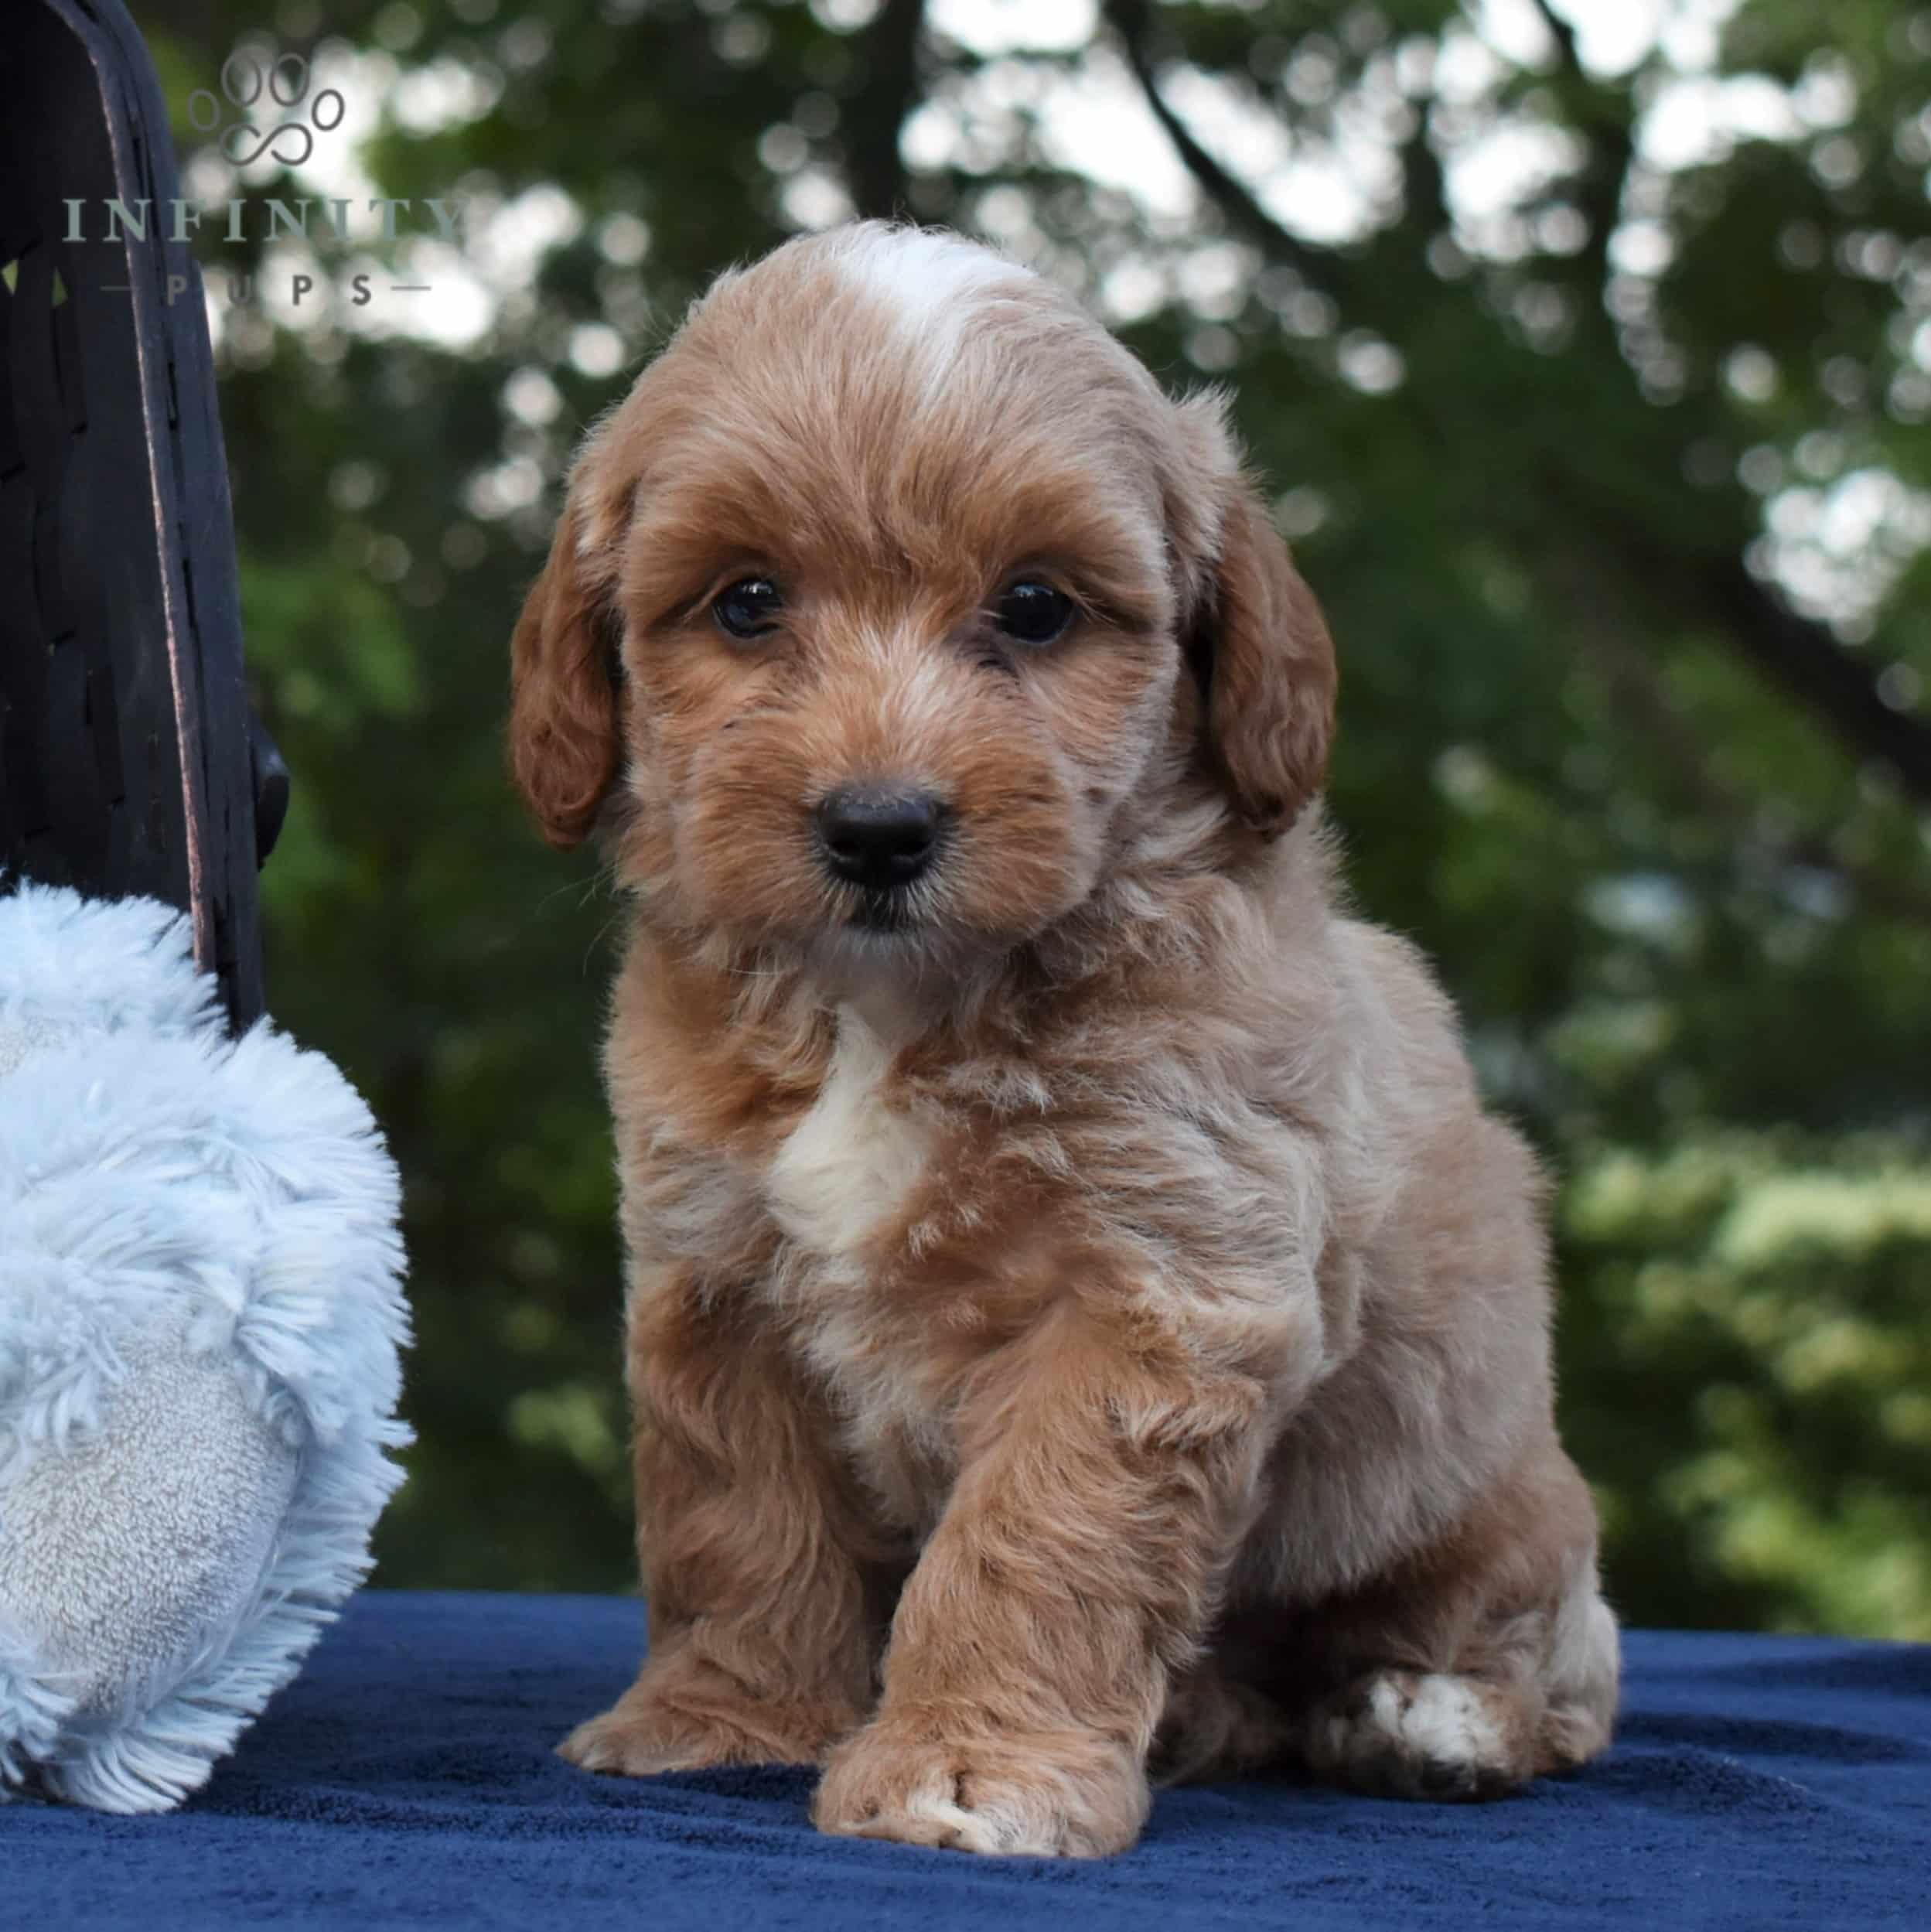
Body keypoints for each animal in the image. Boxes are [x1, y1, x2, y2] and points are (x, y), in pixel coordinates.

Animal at [510, 222, 1614, 1855]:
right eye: (746, 601)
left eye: (1035, 607)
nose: (878, 826)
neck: (890, 1007)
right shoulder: (713, 1274)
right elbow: (734, 1518)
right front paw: (722, 1719)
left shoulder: (1155, 1285)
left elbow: (1034, 1539)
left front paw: (970, 1768)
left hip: (1481, 1481)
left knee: (1547, 1656)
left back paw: (1432, 1717)